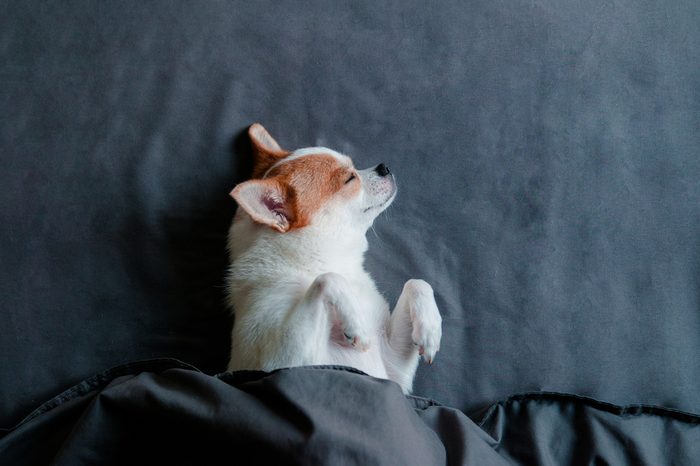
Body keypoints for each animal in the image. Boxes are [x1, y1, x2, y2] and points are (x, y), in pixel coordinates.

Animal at [226, 124, 442, 394]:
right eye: (350, 179)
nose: (383, 166)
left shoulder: (395, 373)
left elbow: (417, 282)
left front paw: (431, 329)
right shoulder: (282, 364)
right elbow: (328, 278)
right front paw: (355, 322)